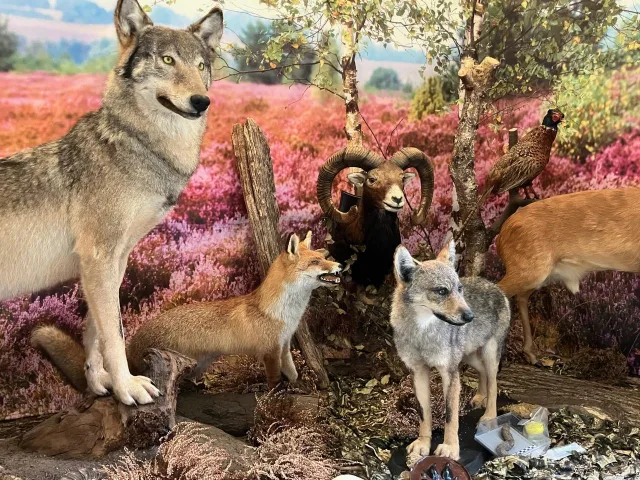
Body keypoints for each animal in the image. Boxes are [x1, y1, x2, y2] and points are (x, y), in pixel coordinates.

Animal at [0, 0, 223, 405]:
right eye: (167, 60)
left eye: (201, 66)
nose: (202, 101)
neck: (139, 147)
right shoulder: (99, 257)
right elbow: (115, 335)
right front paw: (128, 388)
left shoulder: (113, 260)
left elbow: (96, 334)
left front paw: (101, 384)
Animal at [32, 232, 342, 389]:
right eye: (316, 262)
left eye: (324, 256)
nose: (340, 266)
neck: (283, 314)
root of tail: (131, 343)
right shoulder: (268, 351)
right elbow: (275, 380)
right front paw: (276, 396)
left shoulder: (284, 345)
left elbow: (293, 373)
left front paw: (299, 387)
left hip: (203, 362)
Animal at [390, 242, 510, 460]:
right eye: (441, 291)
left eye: (459, 289)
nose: (470, 316)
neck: (422, 335)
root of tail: (496, 286)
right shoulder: (418, 373)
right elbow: (424, 415)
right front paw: (423, 443)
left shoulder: (449, 374)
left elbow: (450, 417)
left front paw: (450, 448)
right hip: (469, 357)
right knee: (483, 375)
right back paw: (480, 397)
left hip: (488, 356)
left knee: (494, 384)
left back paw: (489, 415)